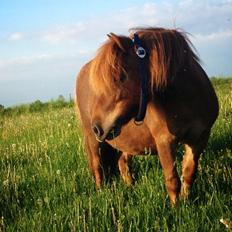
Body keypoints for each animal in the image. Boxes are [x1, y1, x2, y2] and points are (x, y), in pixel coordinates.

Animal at [76, 27, 219, 205]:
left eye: (119, 77)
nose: (97, 127)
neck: (188, 99)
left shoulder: (200, 138)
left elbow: (189, 173)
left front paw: (187, 202)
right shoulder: (164, 141)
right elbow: (172, 180)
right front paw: (177, 208)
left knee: (122, 162)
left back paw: (131, 187)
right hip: (94, 141)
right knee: (97, 167)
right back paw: (101, 193)